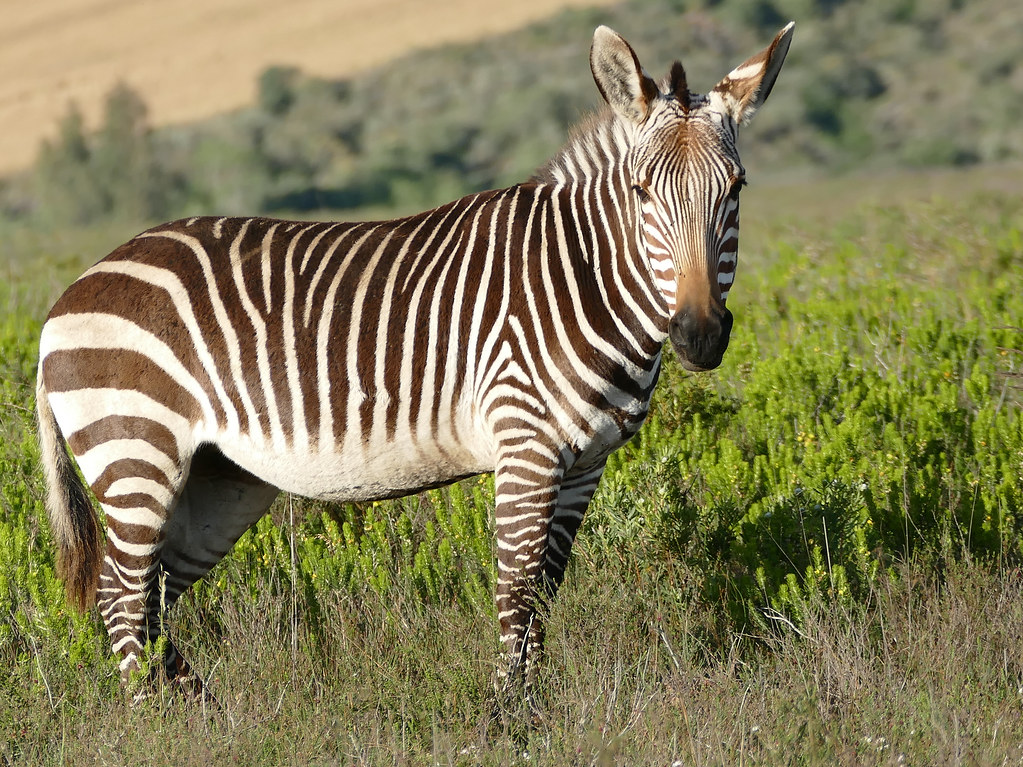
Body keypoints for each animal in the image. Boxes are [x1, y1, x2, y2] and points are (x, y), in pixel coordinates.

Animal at [36, 22, 794, 699]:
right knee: (121, 595)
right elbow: (516, 590)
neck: (585, 278)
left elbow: (546, 590)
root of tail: (67, 296)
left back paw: (200, 712)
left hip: (220, 477)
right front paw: (509, 720)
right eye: (642, 193)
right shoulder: (526, 446)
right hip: (138, 451)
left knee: (154, 593)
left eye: (736, 188)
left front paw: (536, 707)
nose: (699, 335)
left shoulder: (584, 463)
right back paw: (155, 720)